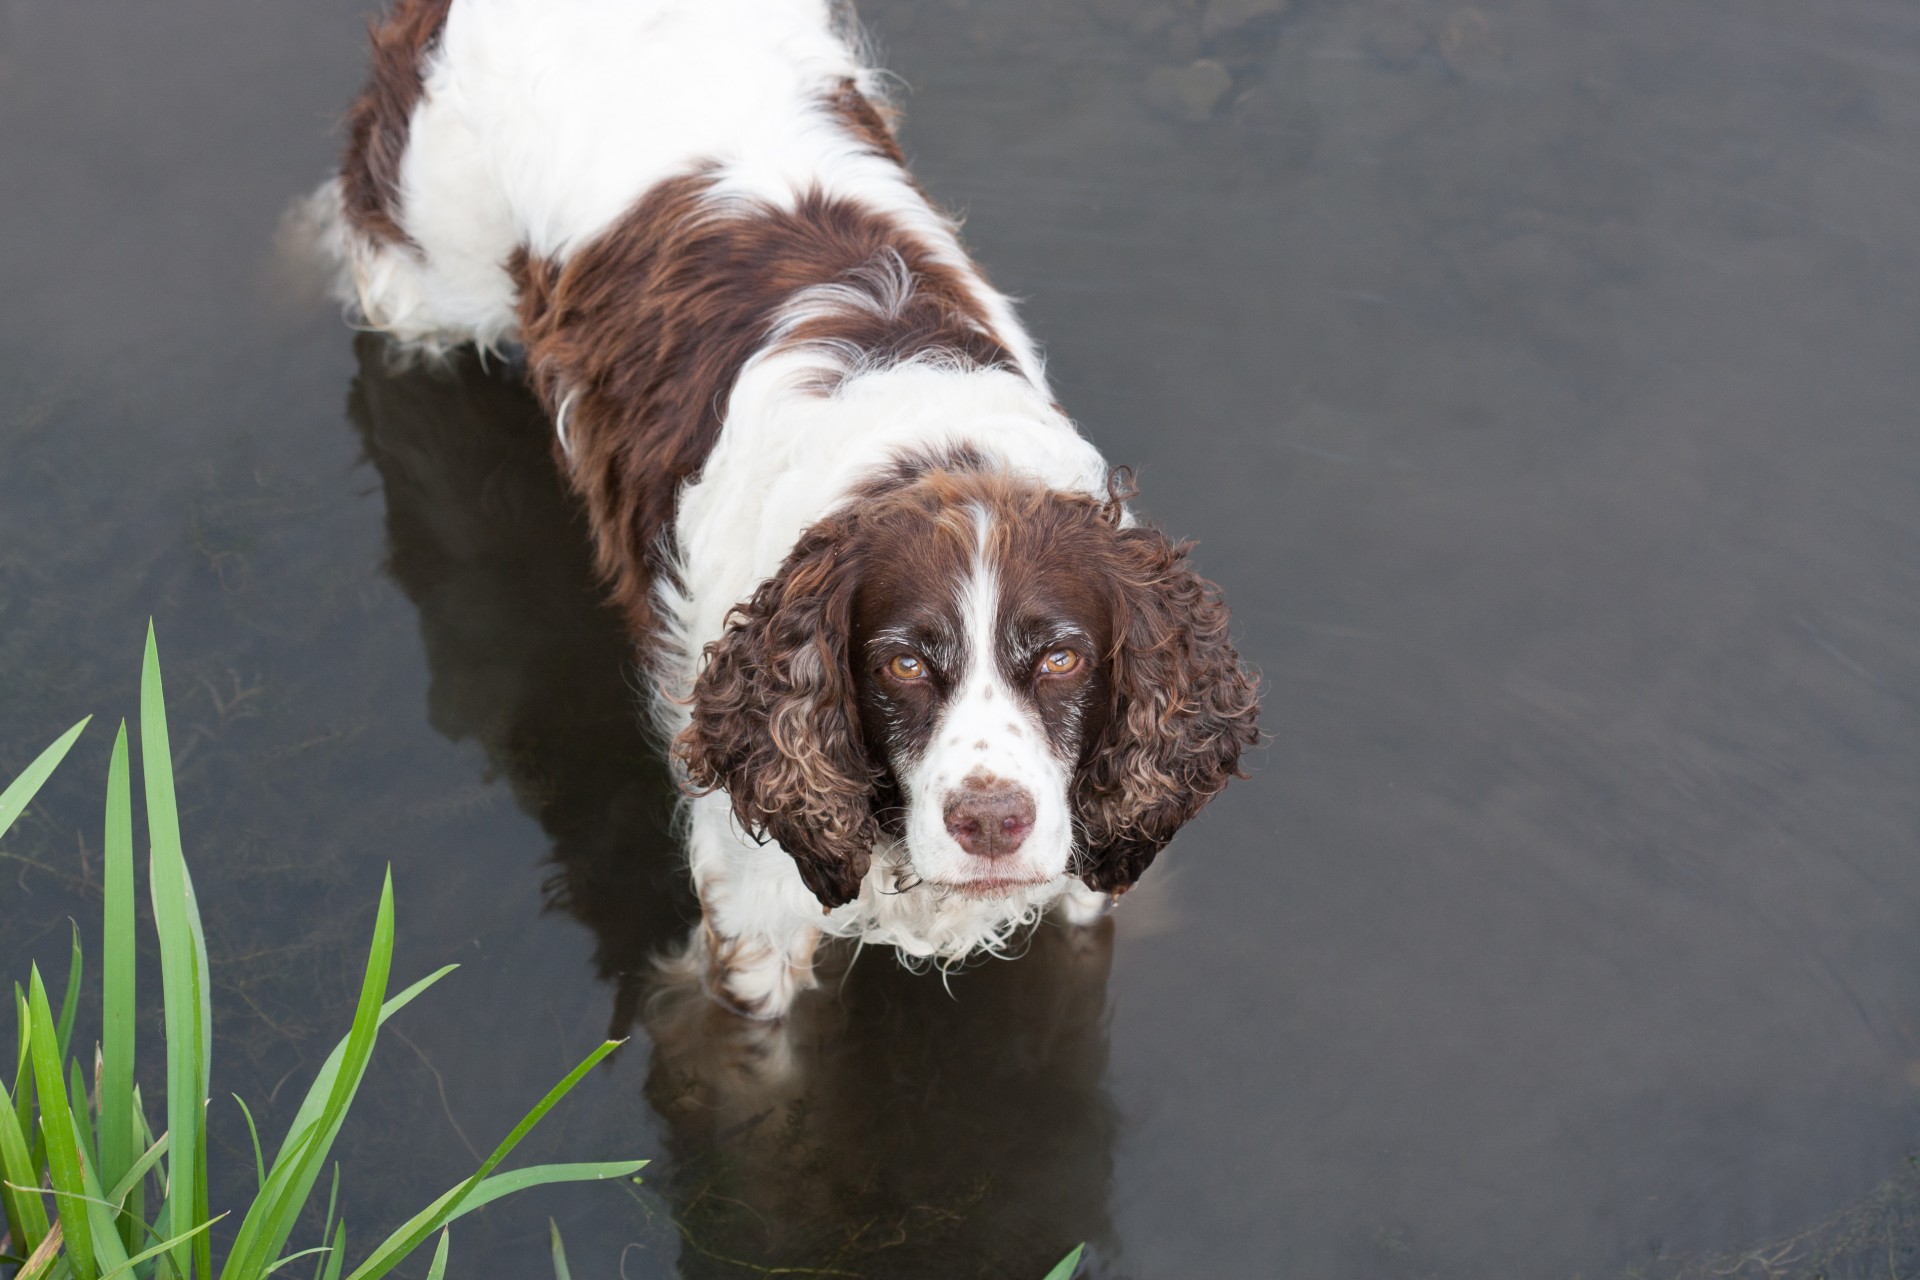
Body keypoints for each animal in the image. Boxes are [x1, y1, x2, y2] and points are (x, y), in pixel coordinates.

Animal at [312, 2, 1259, 1020]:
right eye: (900, 664)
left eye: (1062, 657)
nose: (992, 822)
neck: (937, 452)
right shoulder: (750, 913)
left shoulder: (1088, 864)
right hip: (418, 273)